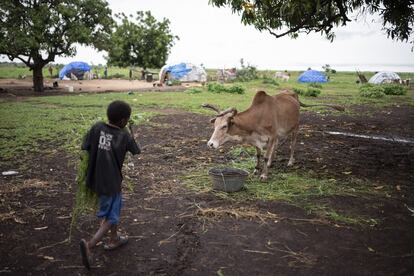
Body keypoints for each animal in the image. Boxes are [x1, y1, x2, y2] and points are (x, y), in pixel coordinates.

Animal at [204, 90, 342, 181]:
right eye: (215, 125)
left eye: (224, 126)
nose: (210, 144)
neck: (258, 117)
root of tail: (293, 94)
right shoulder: (258, 140)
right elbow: (259, 155)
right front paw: (256, 169)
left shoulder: (270, 137)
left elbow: (265, 156)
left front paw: (264, 175)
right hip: (278, 135)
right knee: (276, 146)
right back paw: (271, 162)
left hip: (295, 127)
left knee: (293, 144)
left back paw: (290, 161)